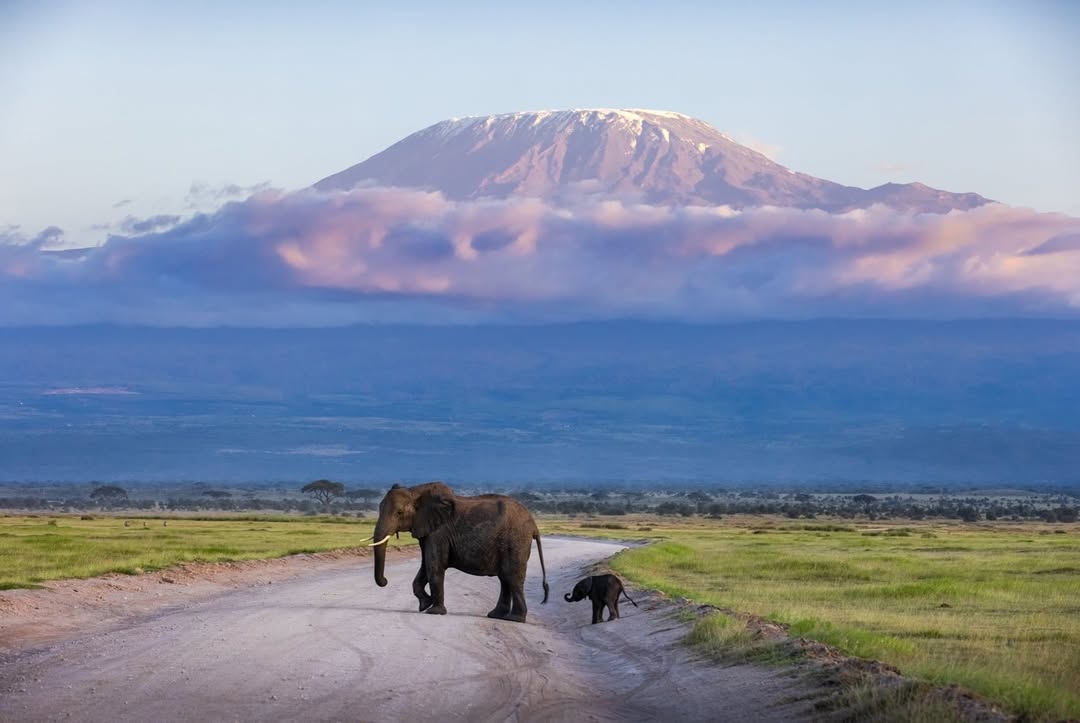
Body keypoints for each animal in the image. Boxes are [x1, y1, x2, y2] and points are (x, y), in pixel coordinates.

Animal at [369, 482, 549, 623]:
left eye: (399, 512)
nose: (385, 581)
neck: (415, 490)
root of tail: (534, 525)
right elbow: (425, 566)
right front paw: (425, 604)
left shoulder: (439, 532)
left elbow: (434, 565)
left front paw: (434, 612)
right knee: (505, 578)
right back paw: (496, 616)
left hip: (515, 540)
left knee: (512, 577)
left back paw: (514, 619)